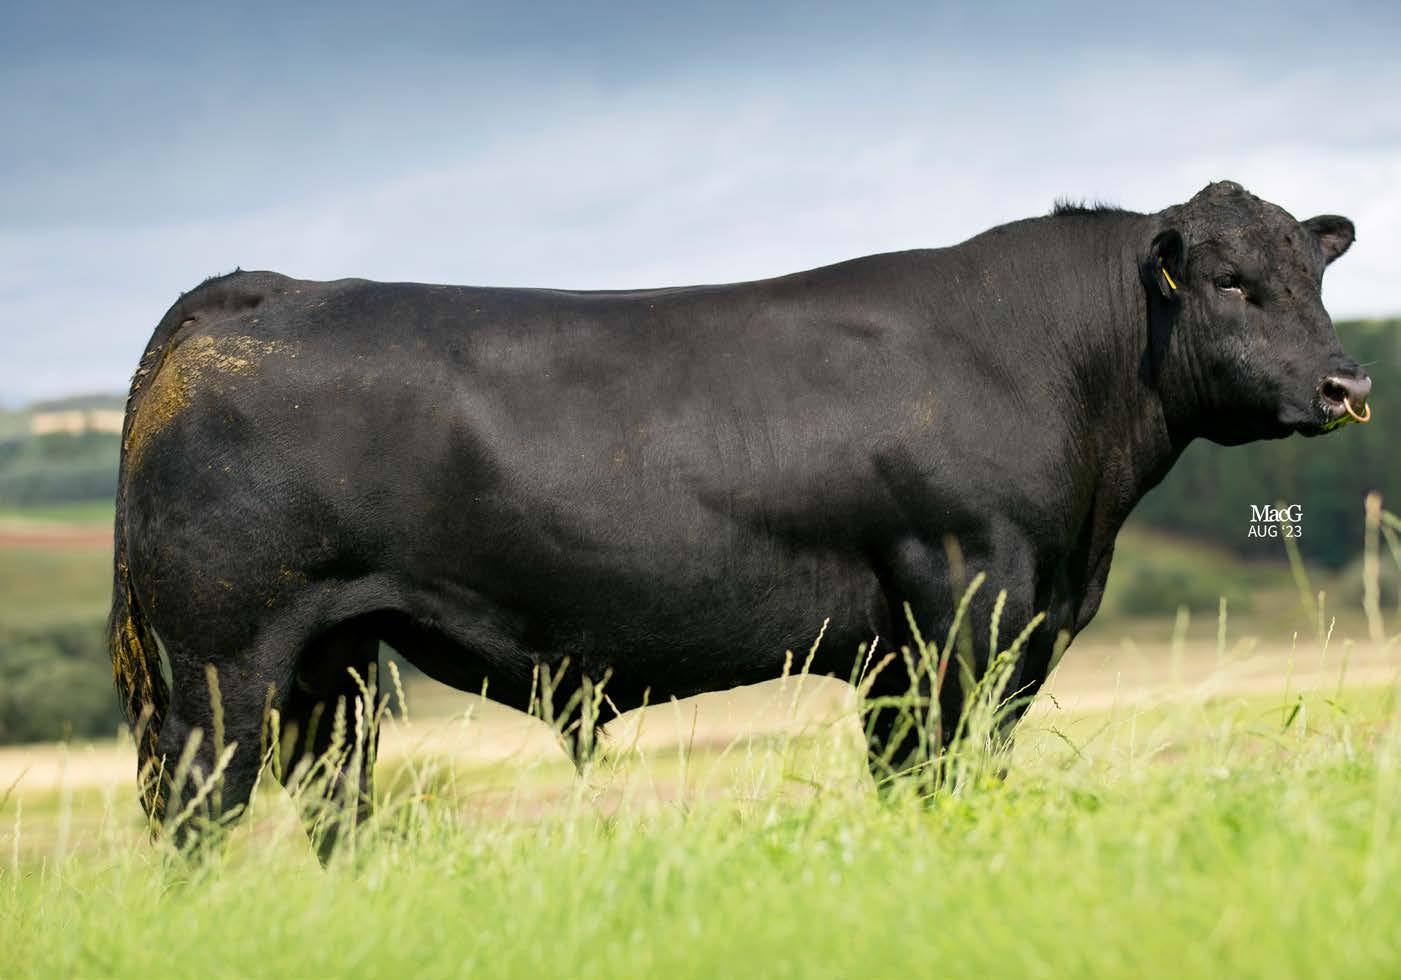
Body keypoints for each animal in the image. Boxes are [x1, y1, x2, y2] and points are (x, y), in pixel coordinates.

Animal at [110, 180, 1370, 858]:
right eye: (1231, 284)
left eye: (1314, 274)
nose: (1347, 382)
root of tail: (252, 287)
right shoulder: (964, 609)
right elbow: (951, 770)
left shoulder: (917, 646)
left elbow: (910, 776)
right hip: (222, 657)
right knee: (196, 810)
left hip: (333, 659)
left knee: (336, 803)